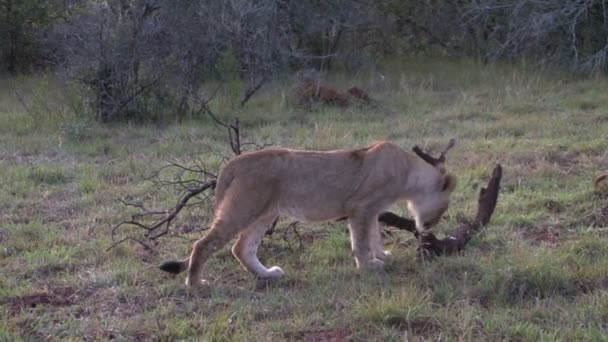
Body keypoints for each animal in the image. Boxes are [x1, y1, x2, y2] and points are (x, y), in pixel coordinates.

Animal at [162, 140, 456, 288]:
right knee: (202, 245)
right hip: (242, 209)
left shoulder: (372, 209)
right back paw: (196, 284)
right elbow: (361, 241)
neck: (407, 172)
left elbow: (375, 235)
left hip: (264, 214)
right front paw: (369, 266)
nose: (429, 227)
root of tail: (234, 162)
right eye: (444, 208)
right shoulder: (360, 207)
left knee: (241, 248)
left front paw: (382, 255)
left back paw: (267, 275)